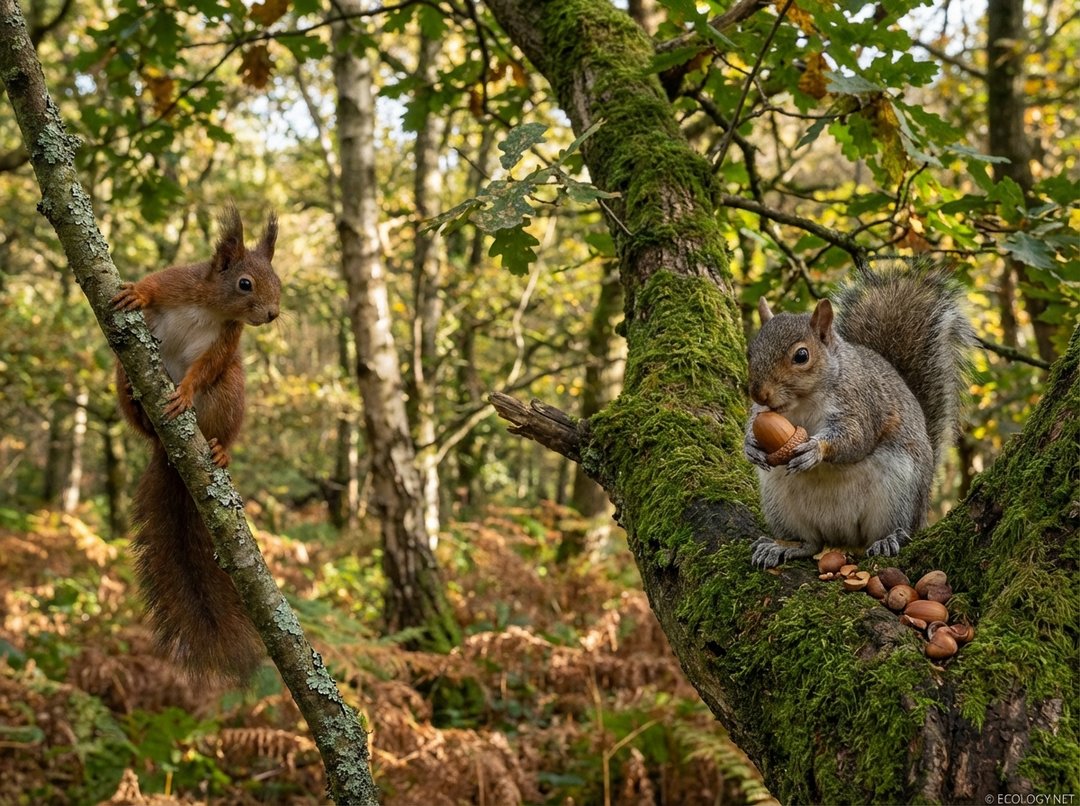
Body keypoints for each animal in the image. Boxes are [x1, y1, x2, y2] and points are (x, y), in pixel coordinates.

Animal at [113, 205, 281, 682]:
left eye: (278, 281)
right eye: (245, 283)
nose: (272, 314)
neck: (209, 305)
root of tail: (170, 454)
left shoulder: (227, 342)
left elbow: (206, 367)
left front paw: (185, 391)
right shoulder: (178, 281)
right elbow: (153, 283)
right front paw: (134, 293)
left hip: (230, 393)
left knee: (222, 410)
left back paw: (219, 449)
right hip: (119, 374)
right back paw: (139, 403)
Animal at [743, 262, 973, 569]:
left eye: (801, 356)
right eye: (750, 352)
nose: (759, 394)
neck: (801, 403)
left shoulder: (862, 402)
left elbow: (856, 438)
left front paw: (814, 449)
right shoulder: (763, 414)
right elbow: (752, 426)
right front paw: (750, 446)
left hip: (898, 492)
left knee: (893, 529)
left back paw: (890, 539)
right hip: (780, 503)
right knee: (811, 543)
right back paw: (782, 546)